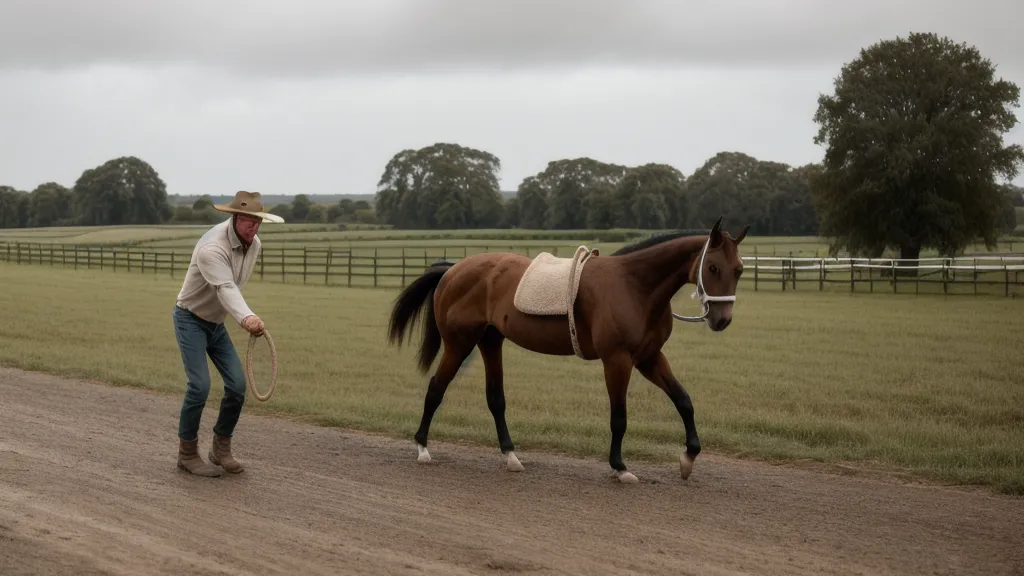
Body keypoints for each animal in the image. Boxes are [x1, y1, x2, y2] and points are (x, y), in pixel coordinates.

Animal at [386, 216, 749, 483]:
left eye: (739, 269)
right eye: (712, 267)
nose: (722, 319)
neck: (634, 285)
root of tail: (452, 269)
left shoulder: (649, 358)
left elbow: (684, 401)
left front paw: (688, 457)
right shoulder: (617, 361)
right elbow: (619, 418)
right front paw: (620, 467)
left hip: (490, 341)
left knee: (495, 399)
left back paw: (511, 455)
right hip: (459, 343)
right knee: (436, 389)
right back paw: (422, 448)